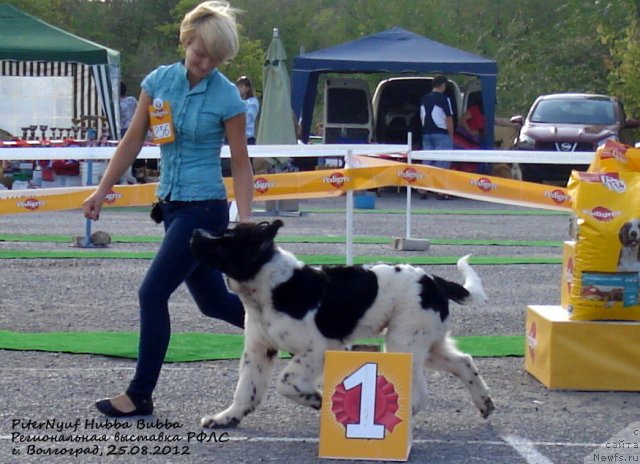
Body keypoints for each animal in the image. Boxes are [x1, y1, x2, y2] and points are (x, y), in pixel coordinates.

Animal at [190, 220, 496, 428]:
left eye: (226, 239)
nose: (194, 233)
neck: (272, 287)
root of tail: (434, 280)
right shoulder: (258, 350)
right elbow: (246, 390)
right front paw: (226, 418)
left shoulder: (317, 348)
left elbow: (285, 382)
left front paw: (315, 399)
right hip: (427, 343)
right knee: (463, 362)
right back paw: (485, 403)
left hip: (404, 341)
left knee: (421, 392)